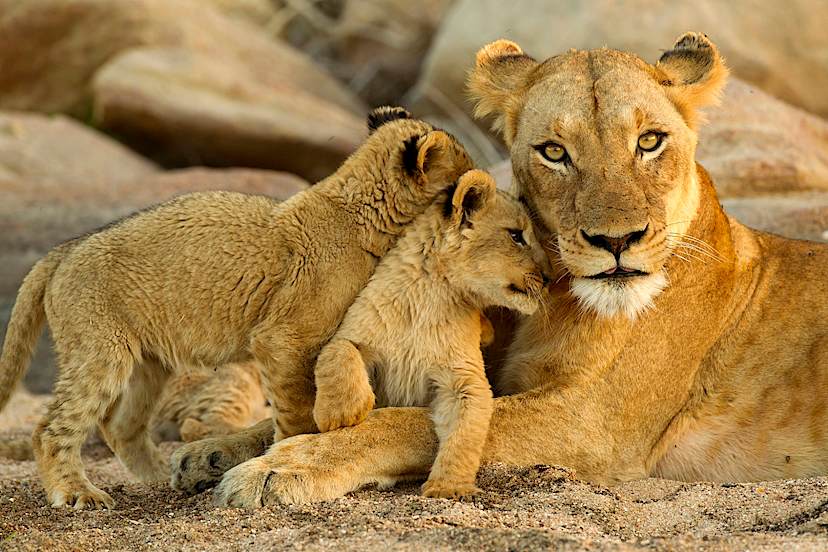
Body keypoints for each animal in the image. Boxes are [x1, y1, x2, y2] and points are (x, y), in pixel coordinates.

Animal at [0, 106, 473, 509]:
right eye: (465, 171)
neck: (357, 210)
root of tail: (63, 250)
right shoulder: (285, 338)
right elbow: (297, 409)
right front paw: (286, 452)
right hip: (101, 350)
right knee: (50, 429)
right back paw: (78, 494)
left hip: (149, 362)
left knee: (119, 425)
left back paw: (162, 477)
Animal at [168, 32, 828, 507]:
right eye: (555, 152)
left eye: (649, 141)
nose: (617, 241)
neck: (556, 300)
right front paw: (214, 451)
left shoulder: (590, 424)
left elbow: (405, 422)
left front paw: (284, 465)